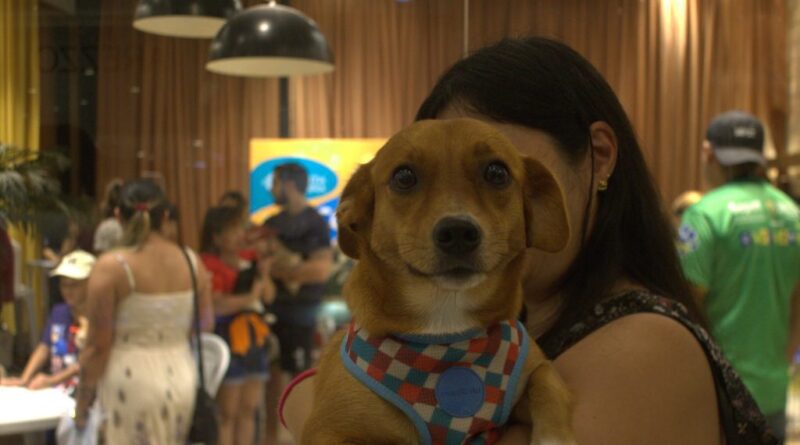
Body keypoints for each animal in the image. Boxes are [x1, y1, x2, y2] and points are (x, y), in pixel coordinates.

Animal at [302, 118, 576, 445]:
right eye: (404, 176)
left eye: (497, 172)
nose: (458, 232)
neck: (445, 319)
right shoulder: (327, 430)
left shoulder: (532, 369)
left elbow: (548, 381)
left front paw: (555, 436)